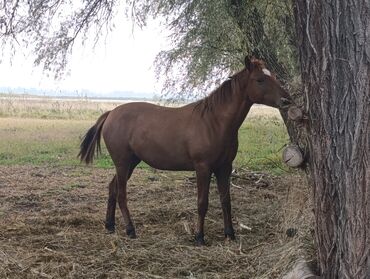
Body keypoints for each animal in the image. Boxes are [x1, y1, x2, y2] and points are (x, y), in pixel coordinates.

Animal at [79, 56, 292, 245]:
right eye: (260, 79)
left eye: (273, 76)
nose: (287, 100)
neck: (214, 122)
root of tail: (110, 114)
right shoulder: (203, 168)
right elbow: (202, 203)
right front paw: (199, 237)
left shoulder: (224, 168)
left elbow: (226, 201)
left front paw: (230, 234)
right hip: (123, 163)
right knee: (121, 194)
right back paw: (130, 230)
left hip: (130, 163)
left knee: (112, 188)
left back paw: (110, 225)